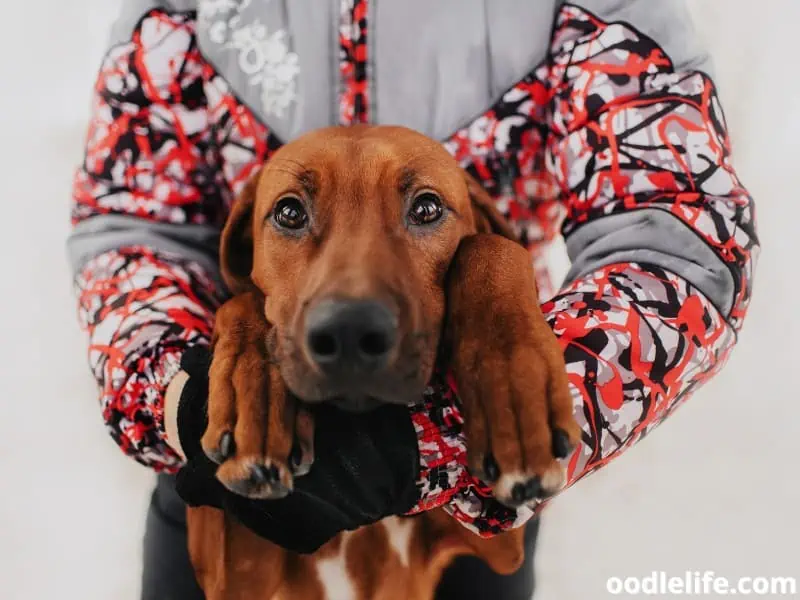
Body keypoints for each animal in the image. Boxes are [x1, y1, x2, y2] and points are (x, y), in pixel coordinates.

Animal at [185, 124, 580, 596]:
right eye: (289, 213)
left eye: (427, 208)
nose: (349, 333)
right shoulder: (229, 566)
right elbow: (242, 300)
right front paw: (254, 396)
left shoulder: (499, 540)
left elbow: (491, 247)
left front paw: (514, 390)